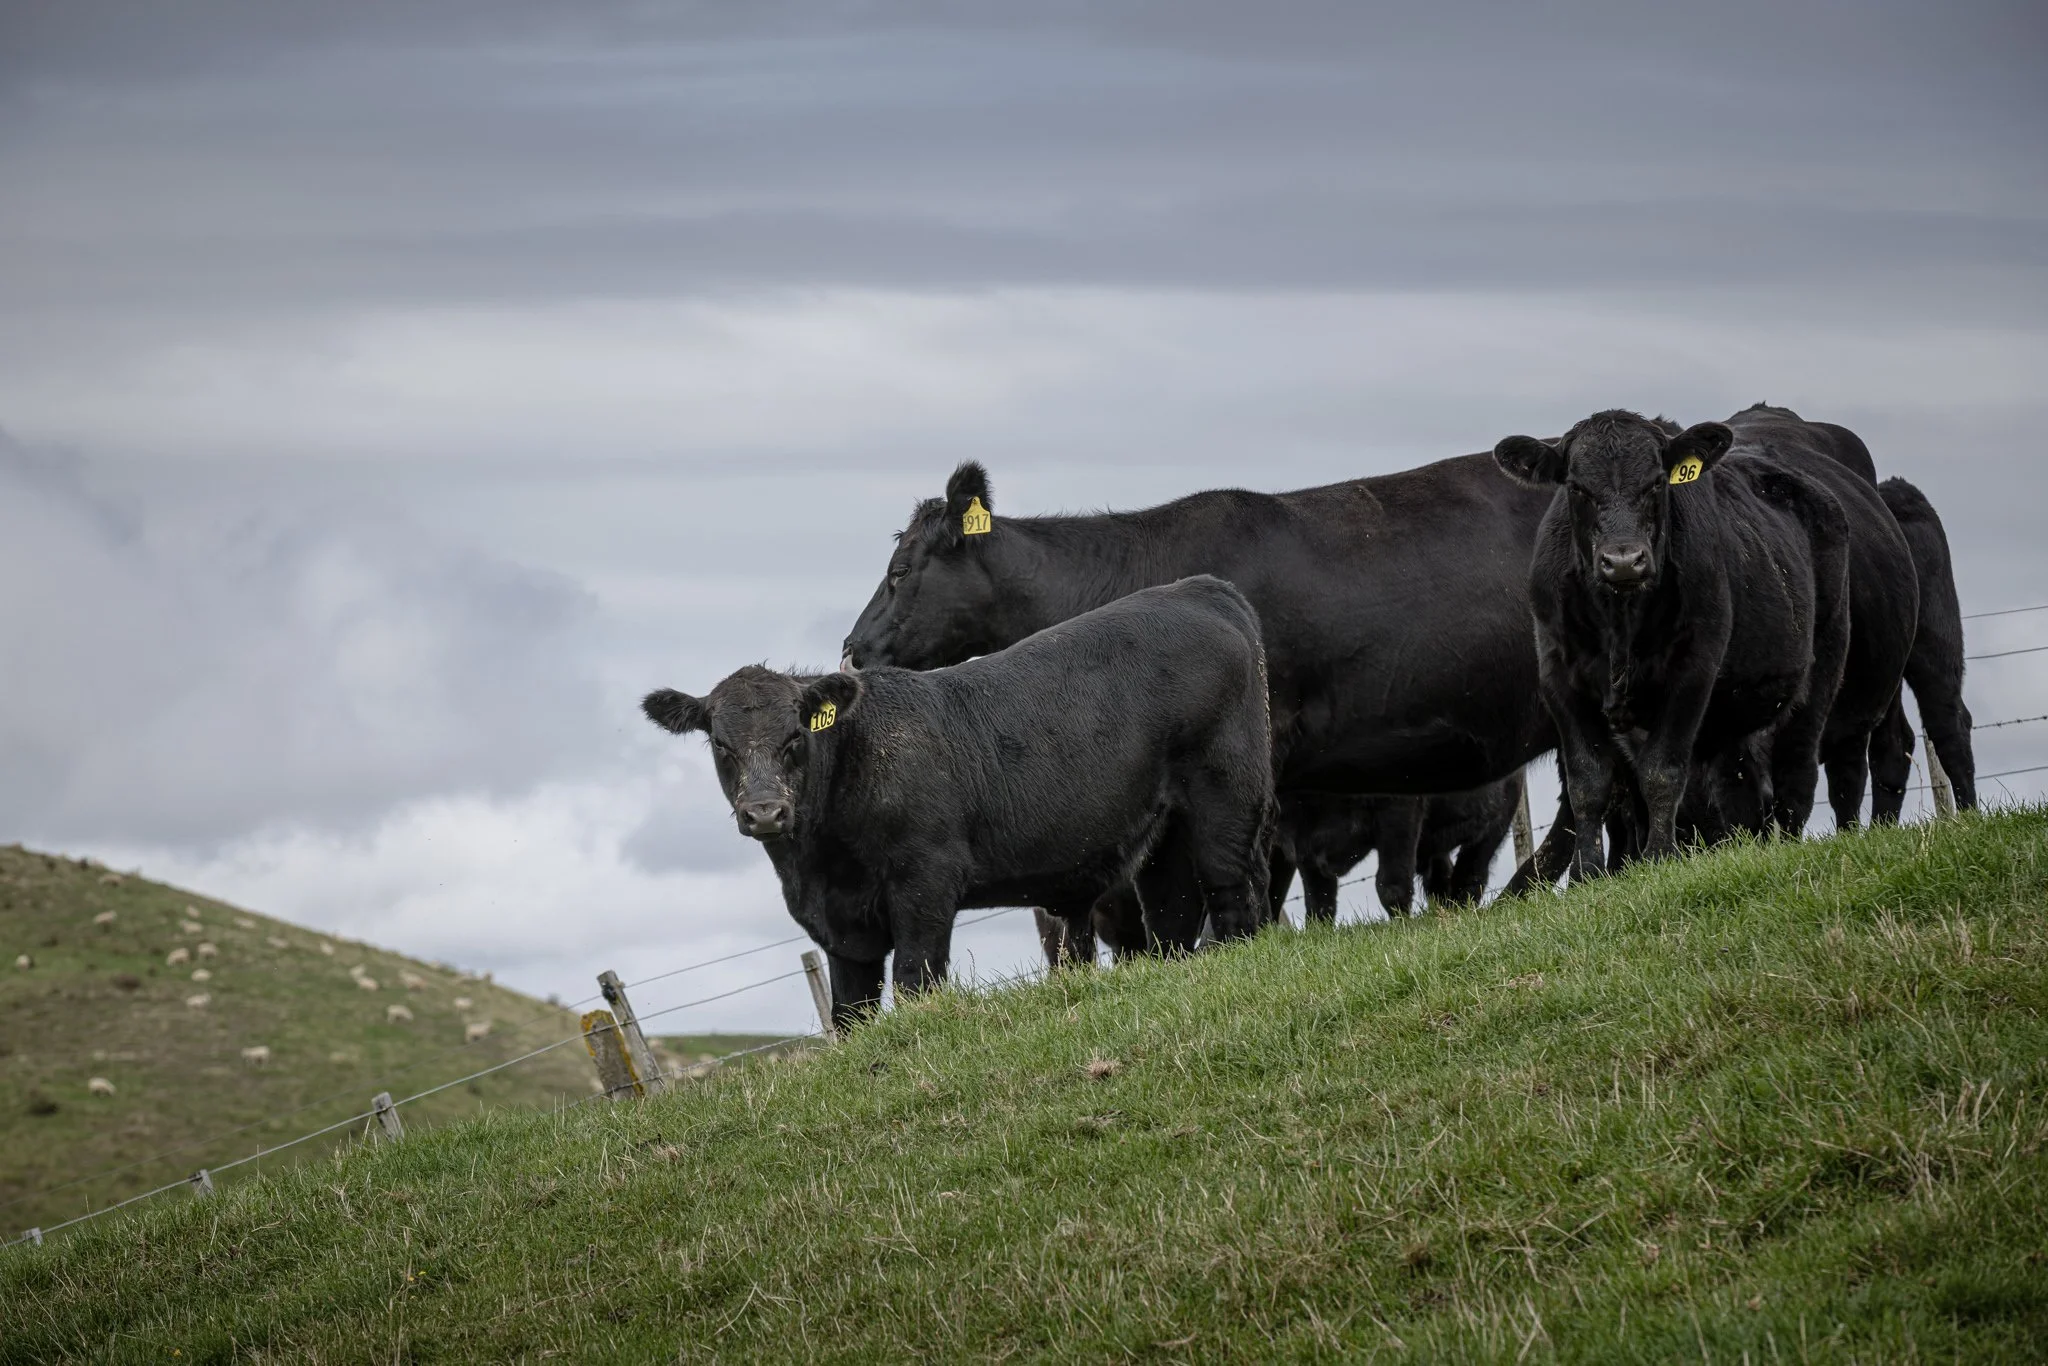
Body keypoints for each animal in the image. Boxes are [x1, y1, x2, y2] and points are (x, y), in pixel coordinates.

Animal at [643, 577, 1274, 1029]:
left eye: (796, 735)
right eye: (719, 743)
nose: (765, 812)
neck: (818, 866)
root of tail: (1200, 589)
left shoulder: (926, 880)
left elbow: (916, 978)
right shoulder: (844, 935)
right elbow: (850, 1015)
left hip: (1226, 795)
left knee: (1231, 890)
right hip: (1163, 830)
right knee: (1171, 909)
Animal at [1269, 774, 1523, 922]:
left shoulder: (1400, 811)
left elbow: (1390, 884)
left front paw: (1401, 926)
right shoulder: (1301, 848)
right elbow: (1319, 900)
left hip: (1499, 814)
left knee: (1471, 874)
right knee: (1440, 878)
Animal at [1494, 410, 1854, 879]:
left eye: (1656, 483)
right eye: (1576, 487)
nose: (1623, 561)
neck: (1620, 621)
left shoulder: (1692, 671)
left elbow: (1661, 772)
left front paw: (1659, 859)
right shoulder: (1559, 674)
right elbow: (1588, 781)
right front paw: (1588, 873)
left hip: (1823, 664)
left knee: (1796, 772)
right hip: (1733, 710)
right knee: (1740, 786)